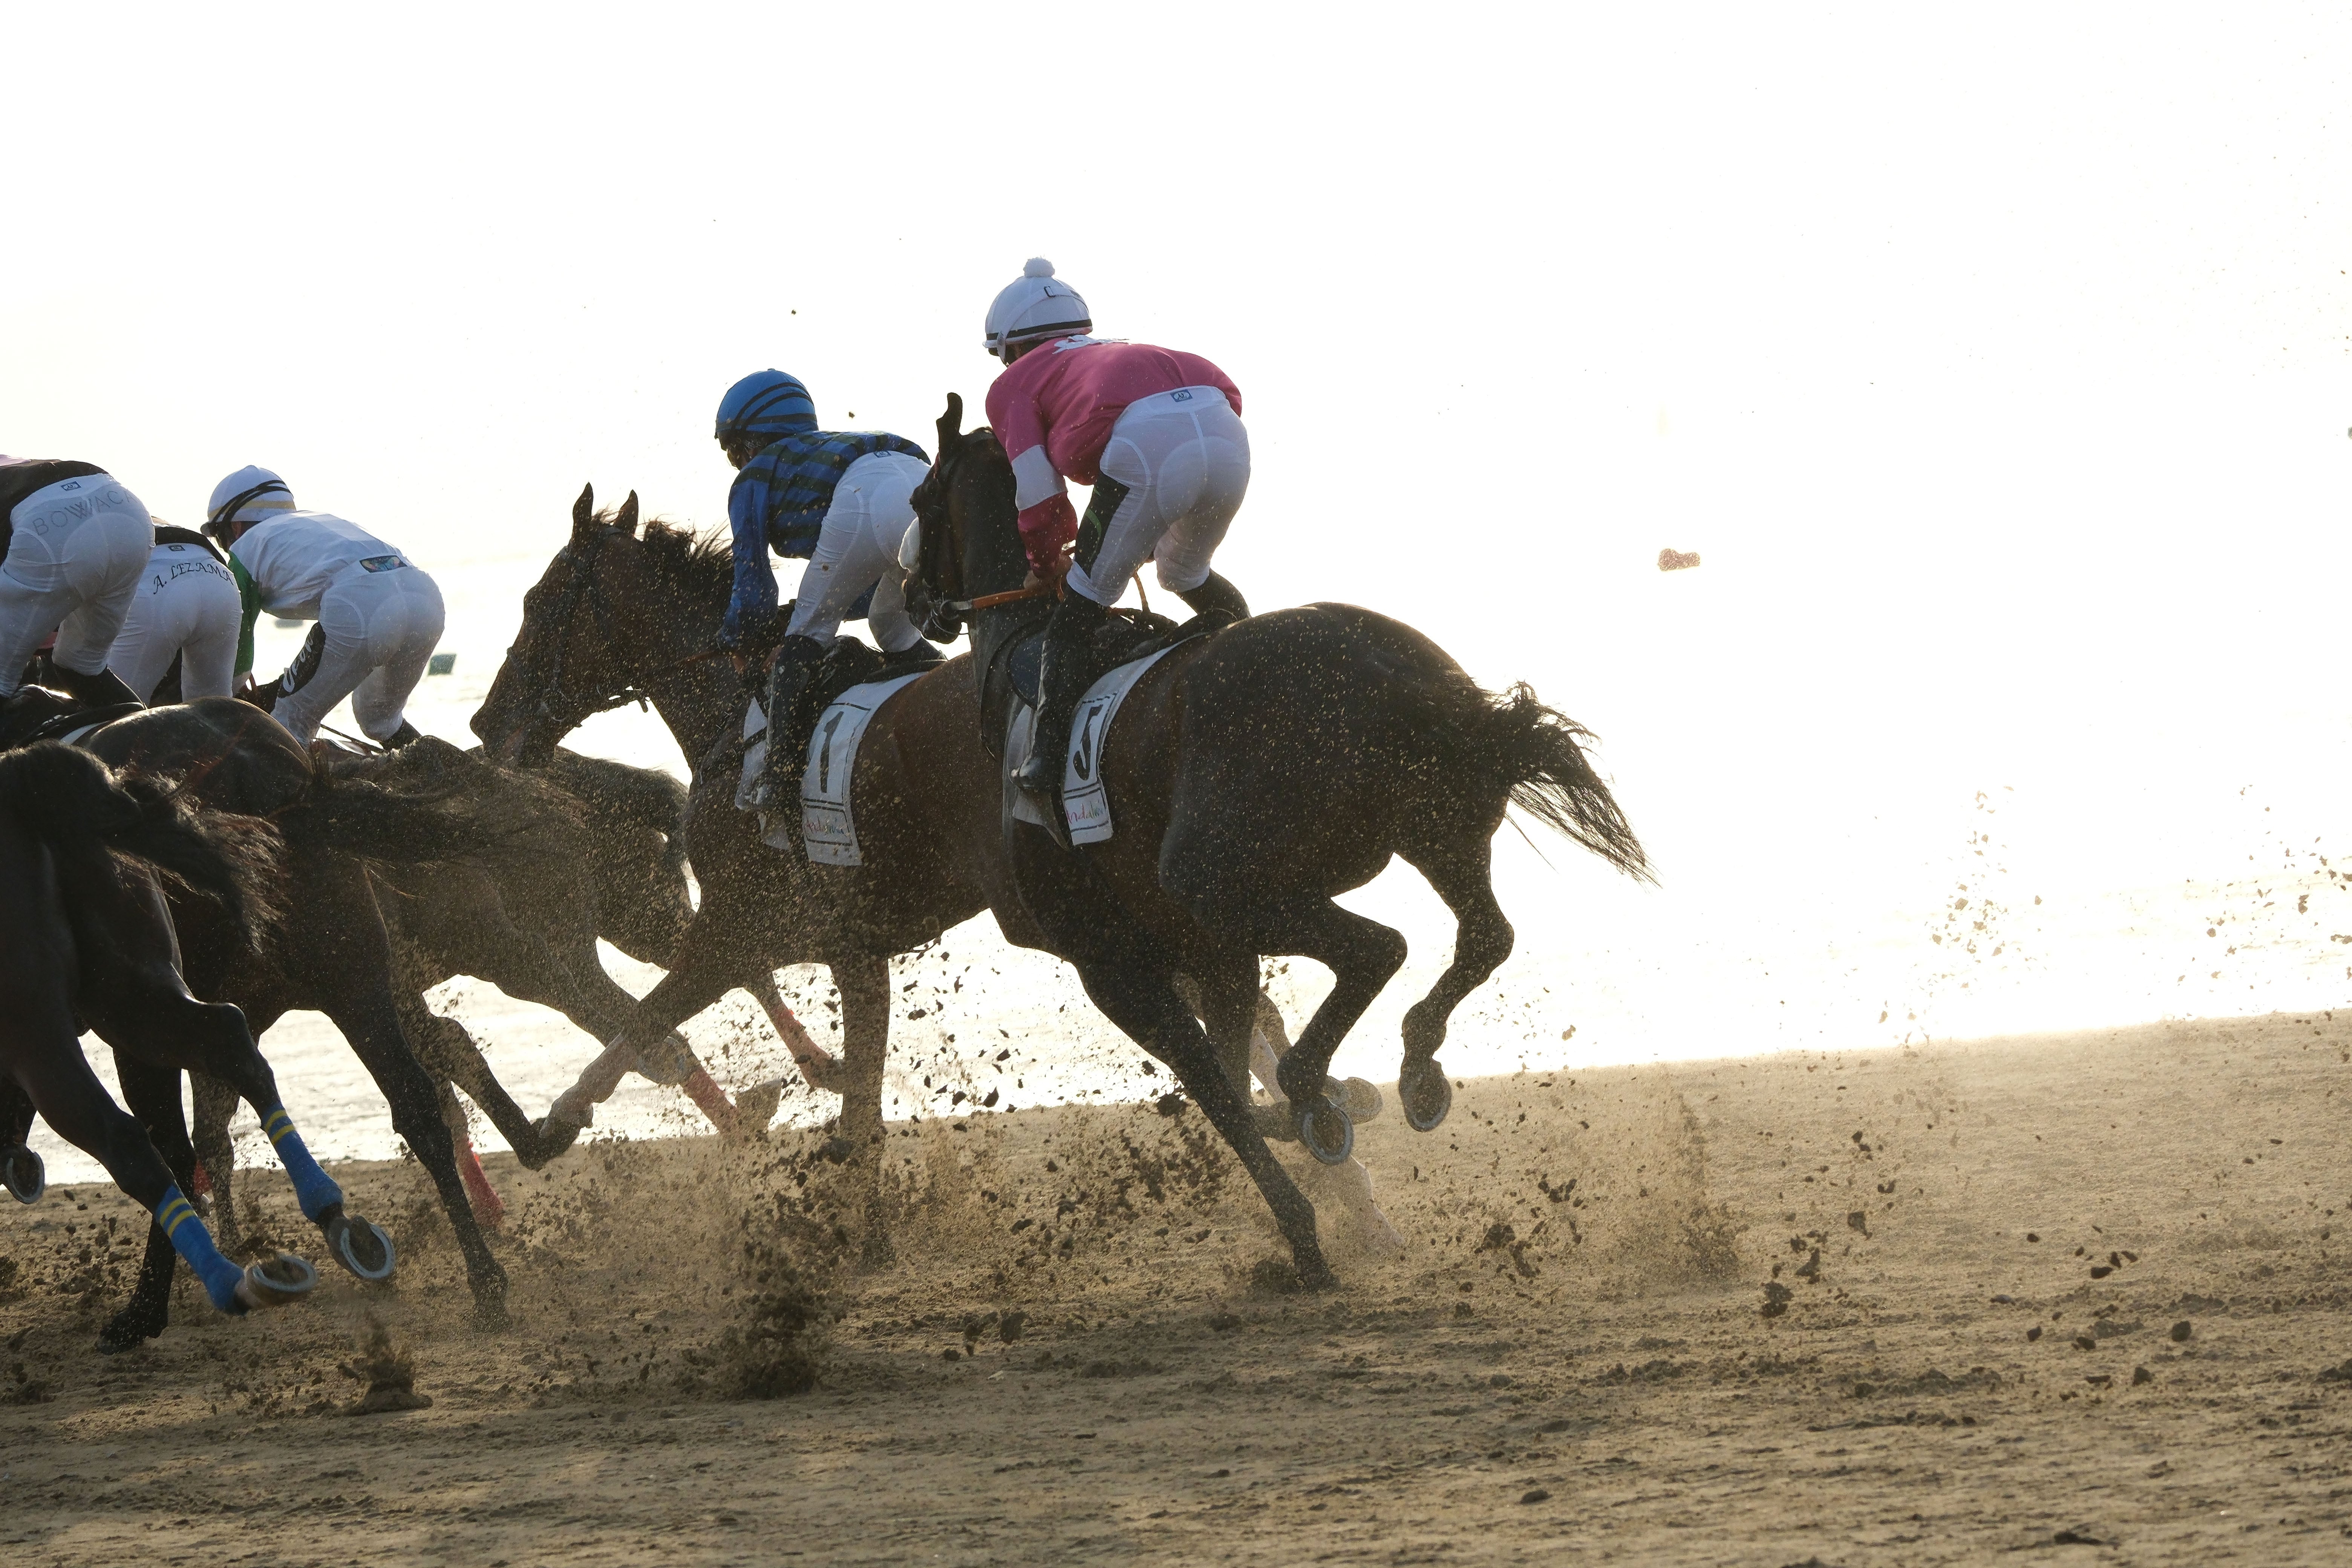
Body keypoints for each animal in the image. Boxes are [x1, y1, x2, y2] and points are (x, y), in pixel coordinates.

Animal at [0, 743, 346, 1344]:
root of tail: (20, 775)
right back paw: (334, 1215)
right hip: (134, 995)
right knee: (228, 1042)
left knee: (124, 1137)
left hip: (39, 1033)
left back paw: (224, 1284)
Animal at [898, 392, 1655, 1288]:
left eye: (920, 501)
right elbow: (1229, 1070)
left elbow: (1216, 1090)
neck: (1022, 671)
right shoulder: (1210, 950)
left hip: (1226, 883)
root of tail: (1393, 676)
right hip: (1435, 834)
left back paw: (1323, 1086)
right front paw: (1333, 1107)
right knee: (1482, 935)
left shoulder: (1115, 963)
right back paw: (1410, 1071)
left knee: (1379, 946)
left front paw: (1305, 1213)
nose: (912, 599)